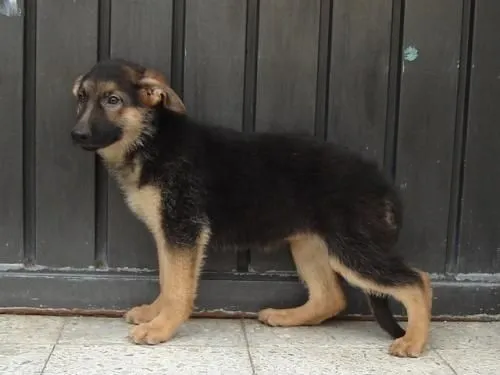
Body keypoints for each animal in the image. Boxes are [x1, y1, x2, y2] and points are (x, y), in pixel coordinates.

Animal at [71, 58, 434, 358]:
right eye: (82, 98)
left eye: (113, 100)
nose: (77, 135)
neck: (152, 138)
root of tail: (382, 182)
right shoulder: (170, 233)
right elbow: (167, 279)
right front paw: (153, 312)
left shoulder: (183, 230)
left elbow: (178, 287)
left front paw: (161, 327)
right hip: (310, 244)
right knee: (330, 296)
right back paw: (286, 316)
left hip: (352, 249)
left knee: (418, 280)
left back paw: (414, 341)